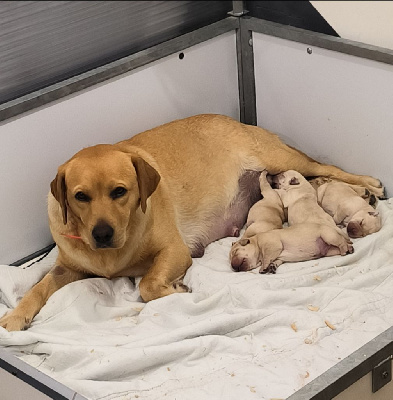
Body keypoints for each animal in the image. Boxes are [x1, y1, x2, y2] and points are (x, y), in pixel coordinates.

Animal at [0, 113, 382, 332]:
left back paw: (369, 184)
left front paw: (177, 289)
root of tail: (236, 119)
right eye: (80, 196)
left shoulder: (176, 252)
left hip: (281, 158)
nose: (102, 234)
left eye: (120, 191)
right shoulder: (66, 268)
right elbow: (38, 288)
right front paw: (17, 315)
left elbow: (147, 284)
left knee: (328, 168)